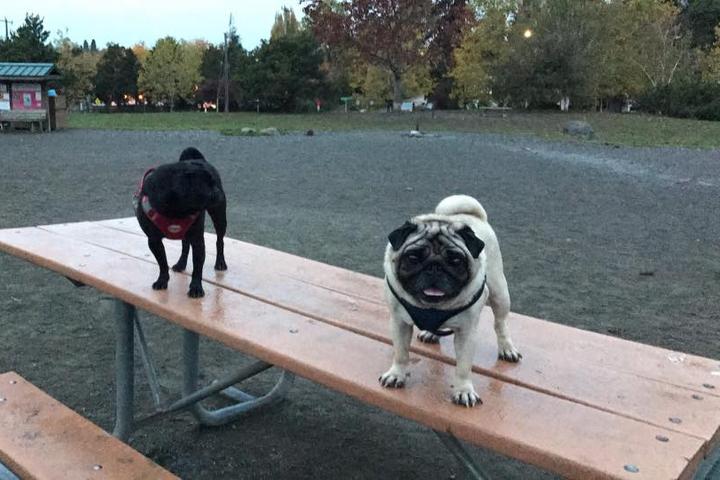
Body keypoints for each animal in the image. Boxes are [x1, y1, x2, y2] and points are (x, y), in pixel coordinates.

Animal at [134, 146, 226, 296]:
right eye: (207, 187)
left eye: (214, 183)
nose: (218, 191)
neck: (176, 210)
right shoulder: (154, 241)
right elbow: (162, 263)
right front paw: (162, 281)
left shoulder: (198, 241)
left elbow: (197, 267)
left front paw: (196, 288)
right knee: (185, 245)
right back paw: (181, 264)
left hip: (219, 217)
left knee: (220, 240)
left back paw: (220, 263)